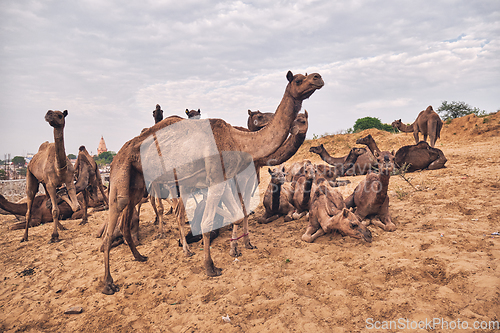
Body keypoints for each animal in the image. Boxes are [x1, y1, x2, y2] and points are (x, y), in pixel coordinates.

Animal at [21, 110, 80, 243]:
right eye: (51, 113)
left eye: (60, 115)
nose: (48, 114)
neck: (60, 169)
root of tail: (31, 160)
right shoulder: (51, 184)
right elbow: (55, 210)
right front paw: (54, 236)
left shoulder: (69, 180)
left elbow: (76, 206)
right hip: (30, 174)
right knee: (29, 203)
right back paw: (24, 237)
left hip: (44, 183)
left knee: (49, 202)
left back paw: (61, 227)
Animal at [100, 70, 324, 294]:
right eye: (298, 80)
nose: (317, 77)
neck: (238, 141)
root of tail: (117, 155)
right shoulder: (218, 179)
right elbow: (208, 222)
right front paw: (210, 267)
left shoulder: (224, 179)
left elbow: (236, 215)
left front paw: (238, 248)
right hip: (121, 175)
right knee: (112, 225)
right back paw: (109, 283)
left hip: (137, 184)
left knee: (129, 217)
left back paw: (139, 256)